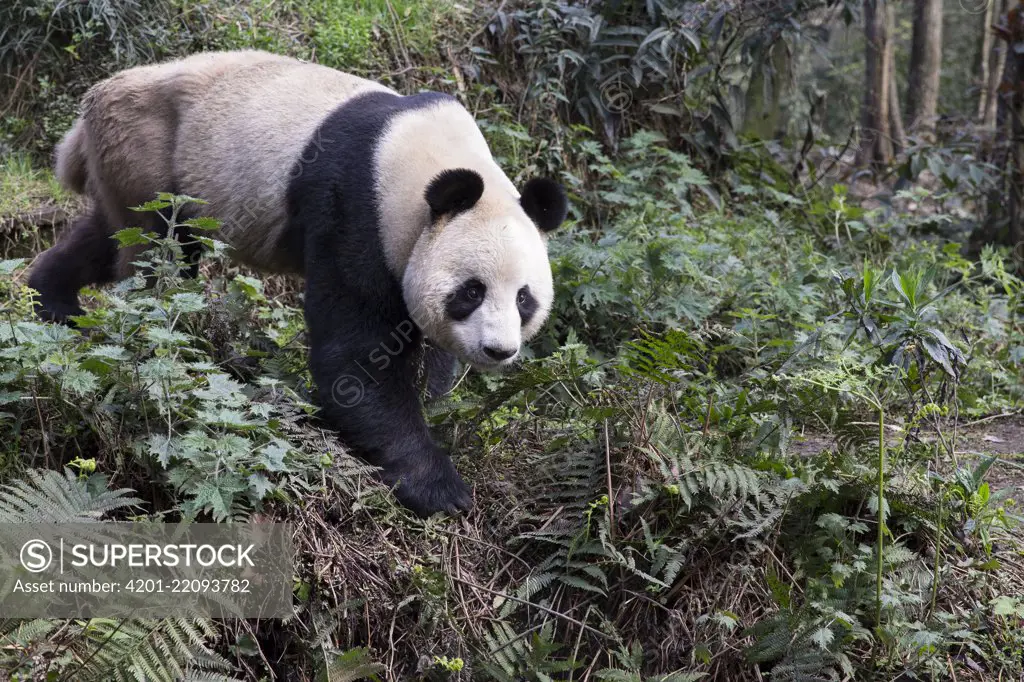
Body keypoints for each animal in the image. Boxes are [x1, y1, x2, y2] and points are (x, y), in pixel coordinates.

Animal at [29, 49, 569, 516]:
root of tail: (97, 96)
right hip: (149, 150)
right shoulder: (356, 207)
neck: (425, 157)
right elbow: (354, 355)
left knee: (106, 236)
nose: (499, 351)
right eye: (472, 291)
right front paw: (440, 488)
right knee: (156, 255)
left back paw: (52, 301)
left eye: (524, 299)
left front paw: (434, 391)